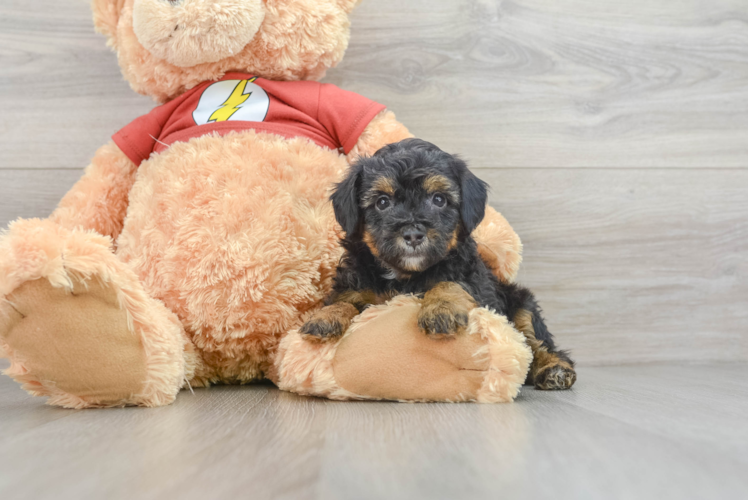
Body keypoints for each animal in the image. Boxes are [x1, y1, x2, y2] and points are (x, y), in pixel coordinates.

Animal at [300, 138, 576, 390]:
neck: (405, 275)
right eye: (382, 202)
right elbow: (344, 300)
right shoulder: (356, 285)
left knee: (535, 341)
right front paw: (325, 317)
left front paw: (441, 310)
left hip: (520, 303)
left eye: (439, 200)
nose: (413, 234)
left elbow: (450, 283)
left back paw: (555, 369)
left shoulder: (475, 282)